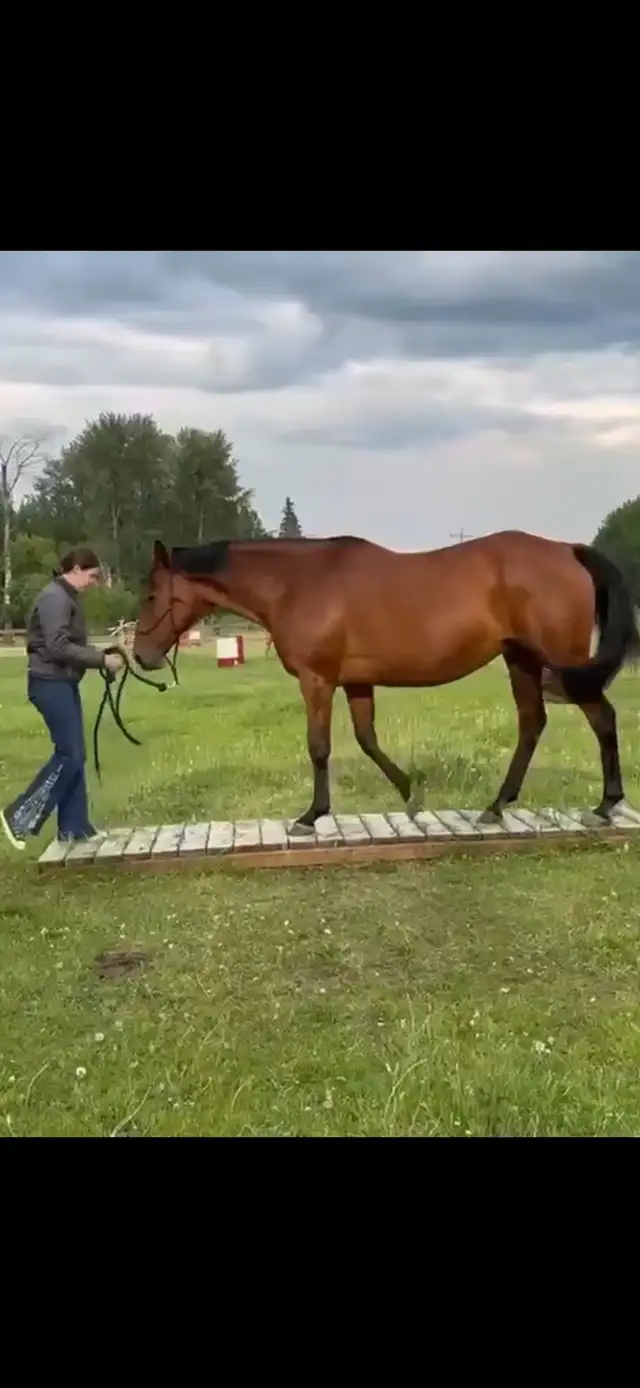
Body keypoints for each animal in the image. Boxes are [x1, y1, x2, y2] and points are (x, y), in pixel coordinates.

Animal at [131, 530, 640, 834]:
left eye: (152, 594)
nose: (140, 655)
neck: (298, 584)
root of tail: (566, 548)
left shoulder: (318, 680)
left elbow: (320, 747)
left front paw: (311, 815)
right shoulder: (357, 682)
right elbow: (367, 738)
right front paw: (411, 796)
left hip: (562, 662)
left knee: (602, 717)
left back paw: (605, 805)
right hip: (521, 660)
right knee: (532, 723)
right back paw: (497, 807)